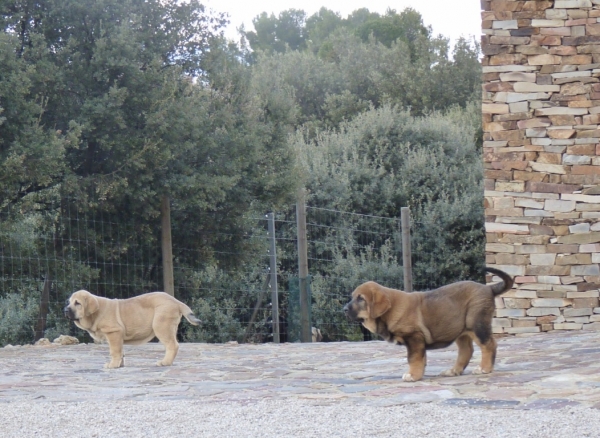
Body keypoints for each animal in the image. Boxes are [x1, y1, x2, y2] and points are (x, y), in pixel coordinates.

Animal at [64, 290, 202, 370]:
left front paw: (112, 365)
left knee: (172, 345)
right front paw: (119, 364)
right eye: (69, 302)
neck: (95, 314)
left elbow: (114, 351)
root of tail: (176, 301)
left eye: (77, 303)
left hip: (161, 326)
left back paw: (165, 362)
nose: (65, 309)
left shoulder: (113, 333)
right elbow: (120, 351)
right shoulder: (118, 336)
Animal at [344, 266, 512, 380]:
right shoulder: (418, 342)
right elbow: (421, 359)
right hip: (460, 330)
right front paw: (418, 374)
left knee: (488, 345)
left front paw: (412, 375)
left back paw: (484, 369)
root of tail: (488, 288)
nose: (344, 309)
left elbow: (413, 359)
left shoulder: (414, 338)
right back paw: (454, 371)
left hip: (476, 324)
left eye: (361, 299)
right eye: (353, 297)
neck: (389, 312)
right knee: (466, 350)